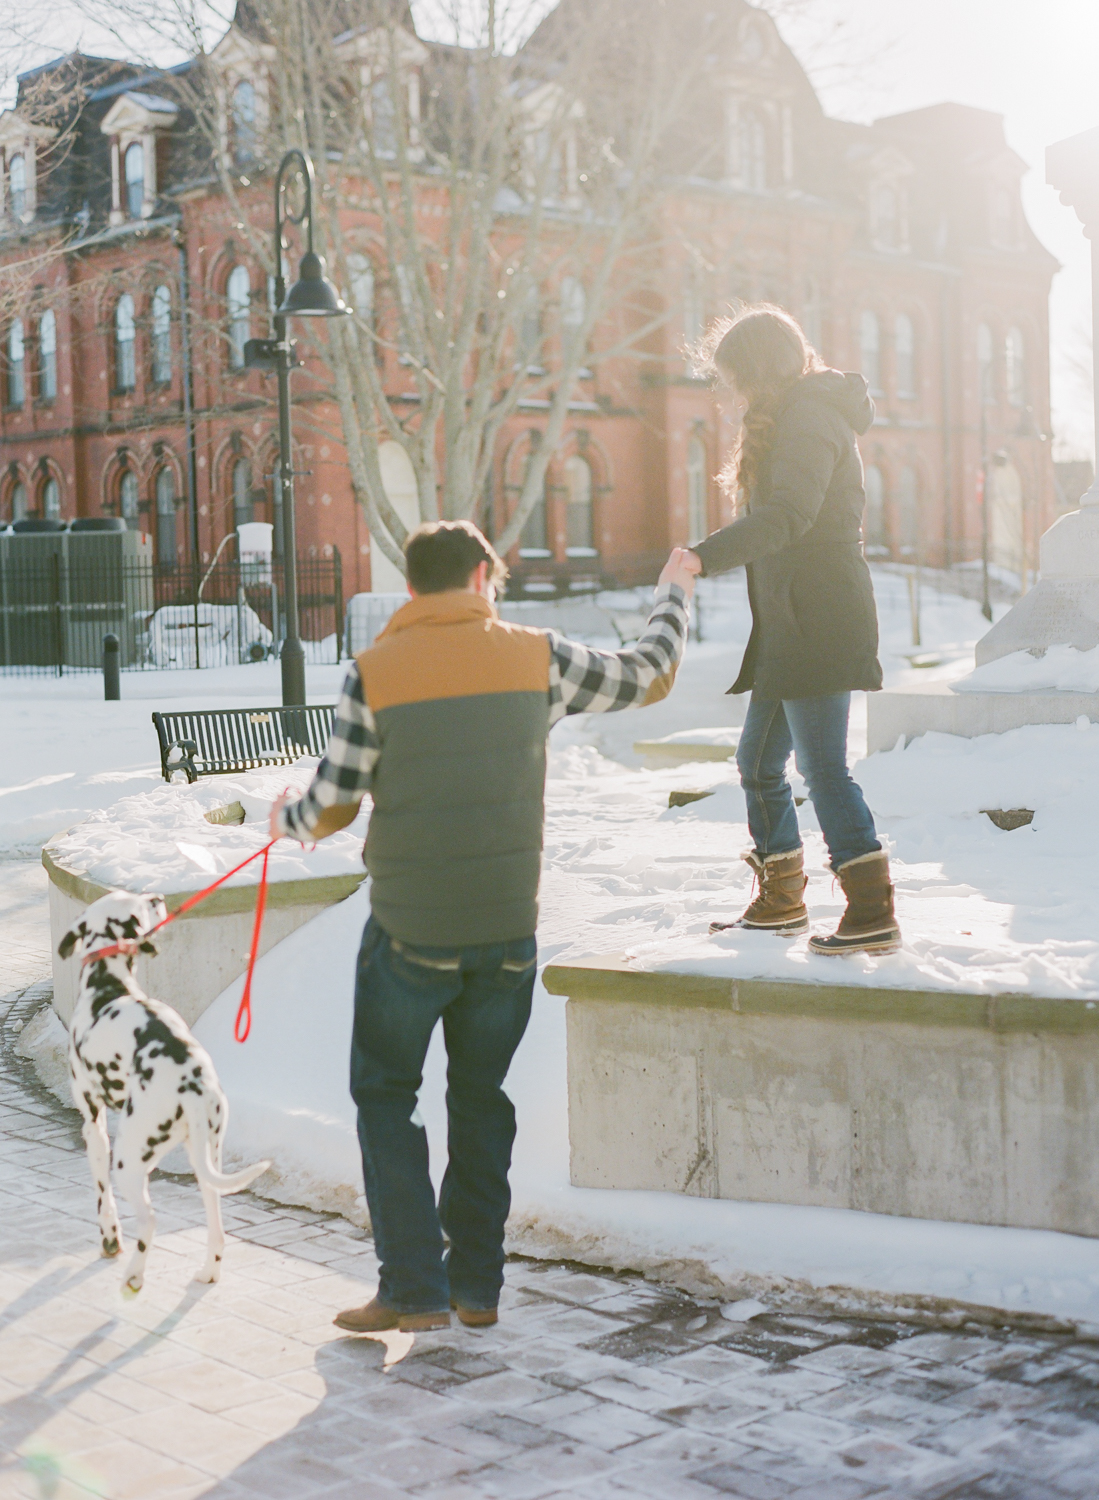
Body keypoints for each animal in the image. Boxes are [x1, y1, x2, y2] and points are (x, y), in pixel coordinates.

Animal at [59, 888, 269, 1290]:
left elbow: (103, 1200)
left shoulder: (94, 1127)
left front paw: (110, 1238)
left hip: (127, 1160)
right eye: (139, 902)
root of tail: (192, 1084)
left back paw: (134, 1277)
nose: (157, 895)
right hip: (206, 1159)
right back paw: (208, 1271)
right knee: (217, 1227)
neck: (109, 985)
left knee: (150, 1220)